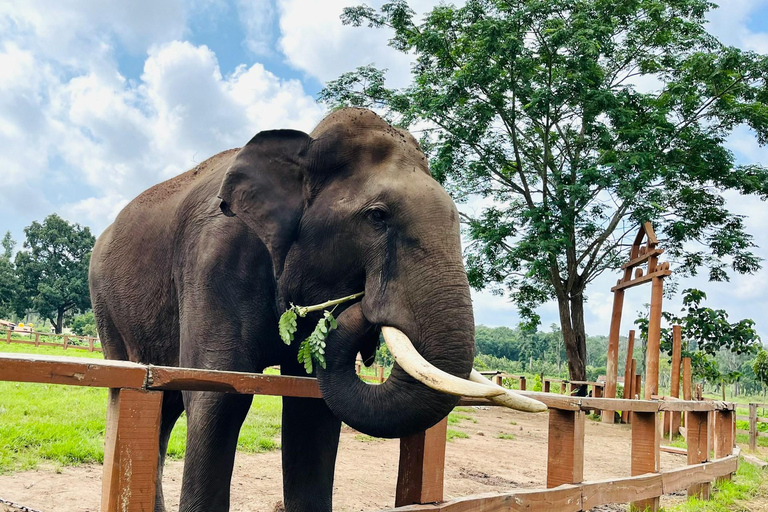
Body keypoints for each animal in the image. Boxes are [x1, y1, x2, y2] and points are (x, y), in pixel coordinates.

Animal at [88, 108, 540, 512]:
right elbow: (219, 395)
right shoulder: (213, 261)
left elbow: (313, 409)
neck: (305, 146)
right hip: (106, 306)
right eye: (377, 216)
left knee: (165, 406)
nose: (362, 302)